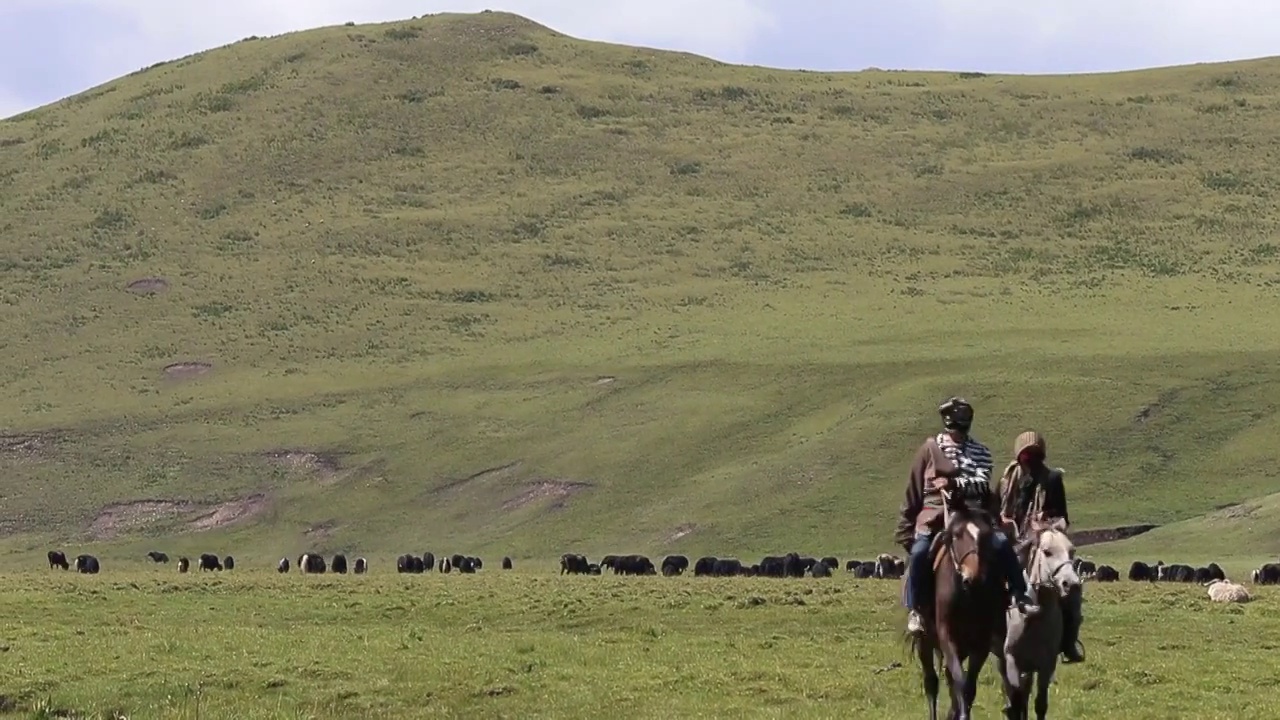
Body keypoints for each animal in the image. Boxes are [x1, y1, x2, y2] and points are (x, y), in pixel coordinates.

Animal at [911, 499, 1008, 717]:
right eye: (956, 535)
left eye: (986, 534)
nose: (974, 577)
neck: (967, 595)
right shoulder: (947, 637)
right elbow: (959, 681)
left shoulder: (980, 643)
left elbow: (968, 687)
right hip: (924, 642)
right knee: (931, 682)